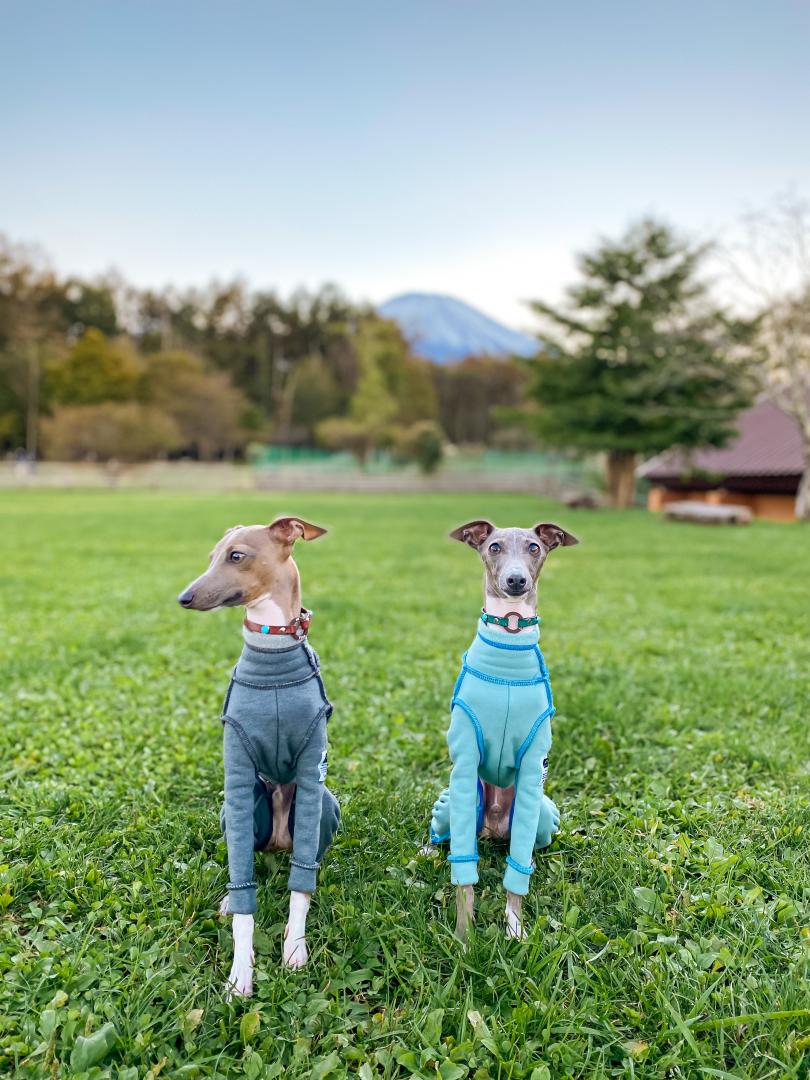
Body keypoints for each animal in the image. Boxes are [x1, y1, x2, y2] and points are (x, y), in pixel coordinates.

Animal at [177, 514, 339, 993]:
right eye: (212, 556)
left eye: (236, 556)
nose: (184, 597)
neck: (273, 648)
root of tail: (278, 843)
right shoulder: (237, 764)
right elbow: (245, 903)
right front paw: (240, 973)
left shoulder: (313, 768)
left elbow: (299, 891)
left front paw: (295, 949)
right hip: (240, 810)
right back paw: (228, 900)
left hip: (326, 805)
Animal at [427, 520, 578, 937]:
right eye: (494, 546)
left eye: (534, 547)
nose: (516, 580)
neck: (508, 642)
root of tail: (493, 829)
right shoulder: (464, 764)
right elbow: (464, 872)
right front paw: (464, 936)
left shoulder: (533, 766)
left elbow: (517, 873)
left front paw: (514, 928)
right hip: (450, 804)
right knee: (445, 835)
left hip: (543, 814)